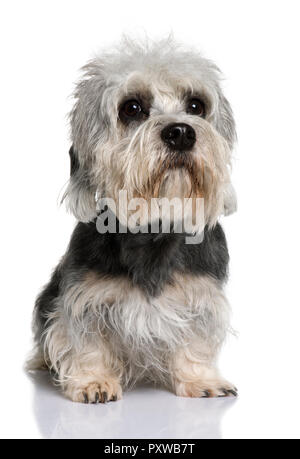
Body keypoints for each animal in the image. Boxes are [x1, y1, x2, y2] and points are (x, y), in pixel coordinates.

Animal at [28, 37, 239, 404]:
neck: (155, 226)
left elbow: (197, 341)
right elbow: (84, 340)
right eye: (132, 107)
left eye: (196, 105)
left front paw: (200, 378)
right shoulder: (84, 299)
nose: (181, 132)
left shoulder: (202, 296)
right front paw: (93, 380)